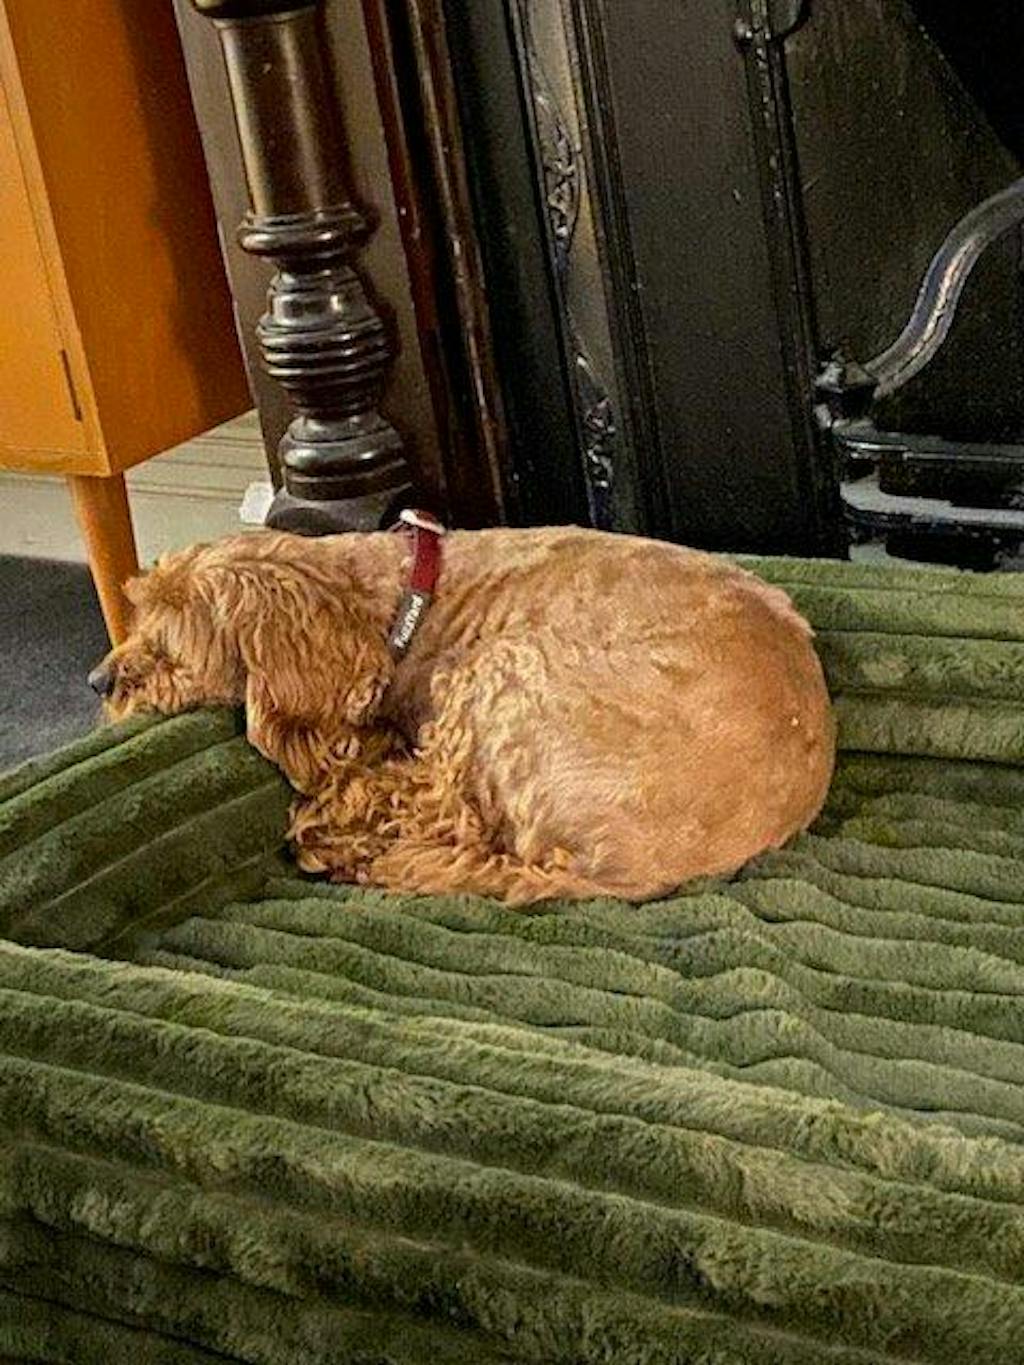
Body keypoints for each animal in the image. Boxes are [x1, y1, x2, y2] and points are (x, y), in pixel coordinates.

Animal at [88, 525, 835, 904]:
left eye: (167, 648)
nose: (99, 680)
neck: (404, 600)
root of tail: (620, 874)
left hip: (498, 676)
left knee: (435, 810)